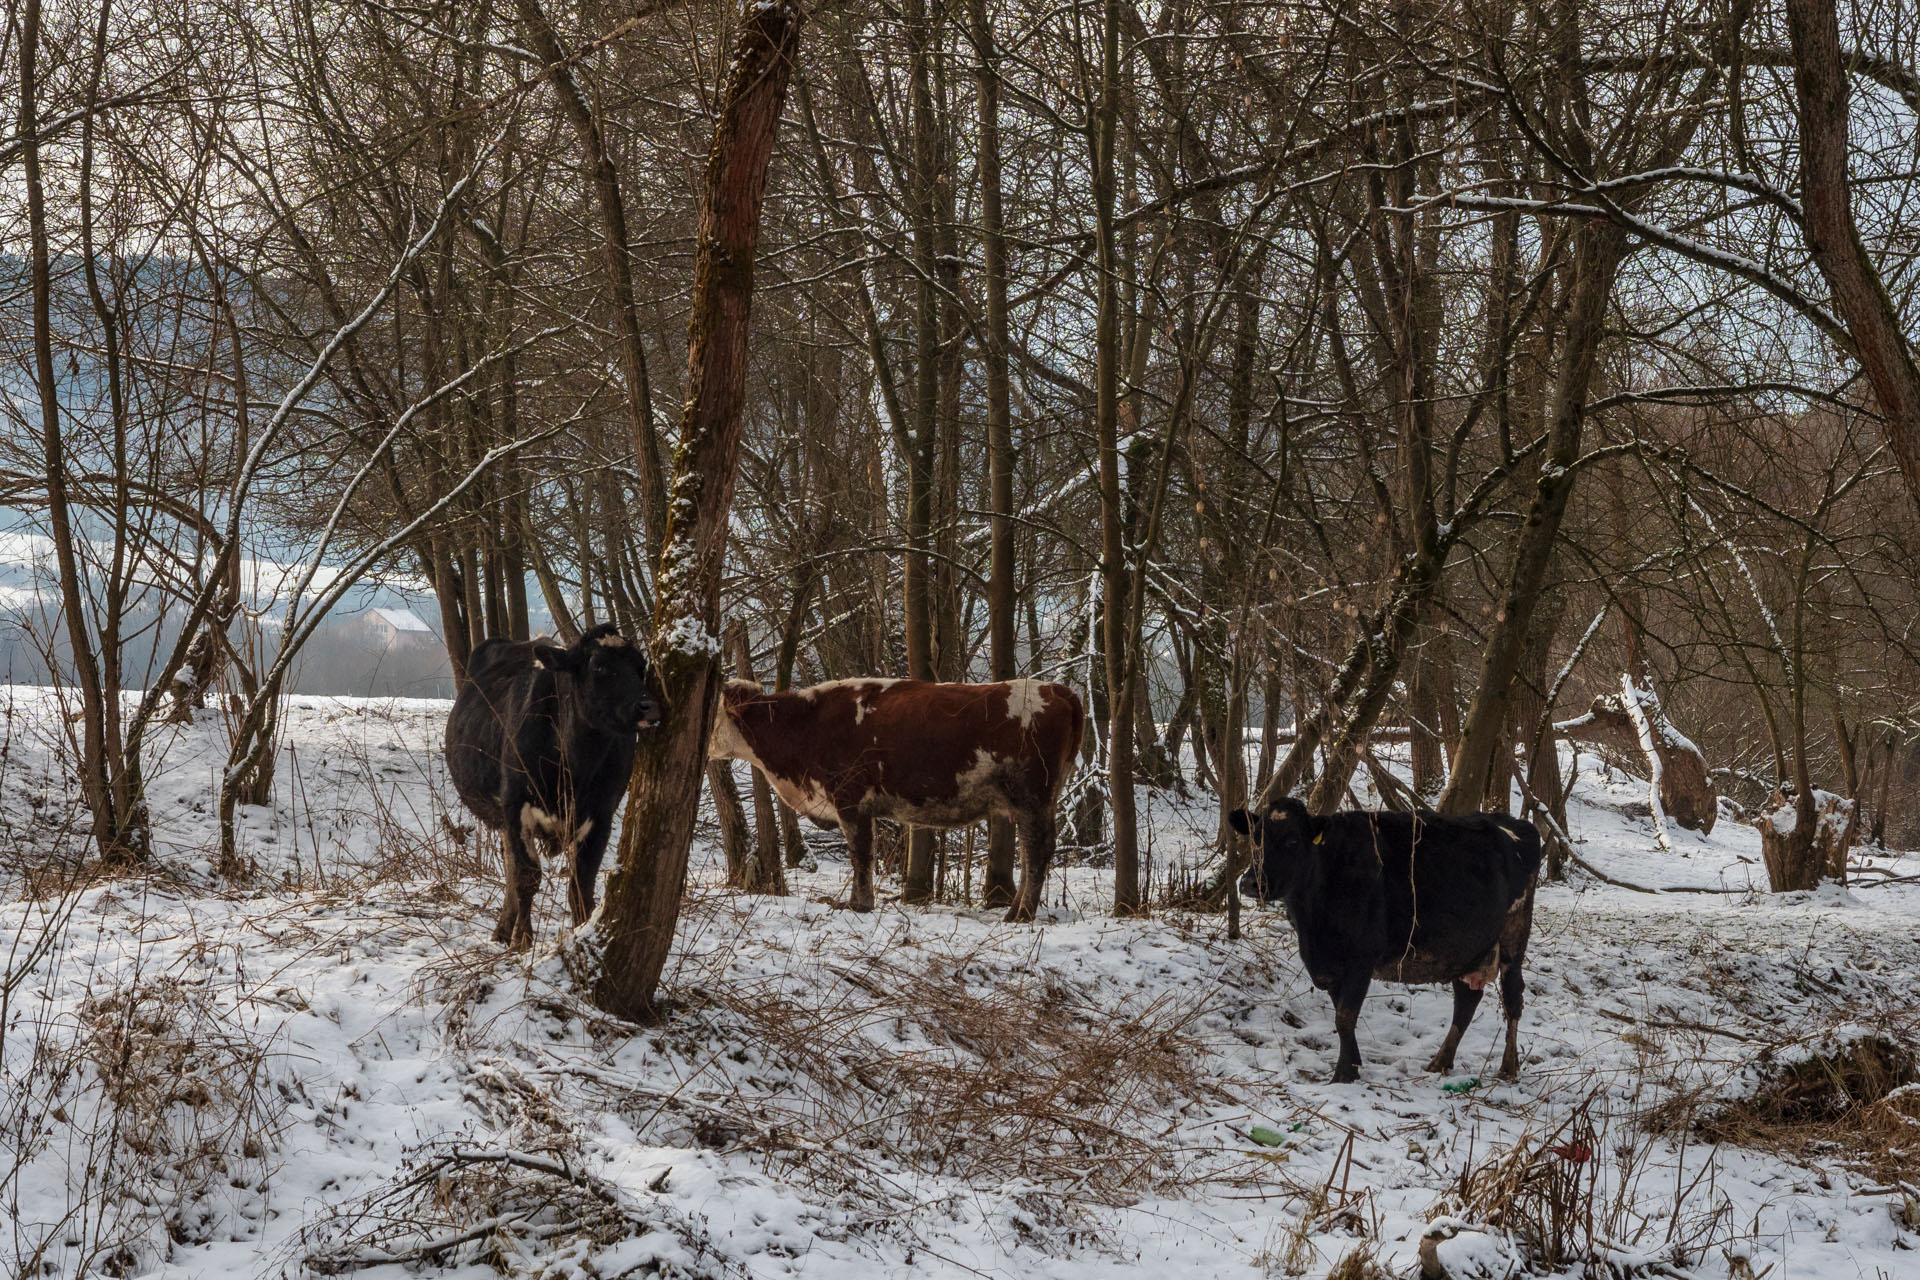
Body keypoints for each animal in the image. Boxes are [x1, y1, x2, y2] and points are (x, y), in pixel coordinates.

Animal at [445, 625, 664, 948]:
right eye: (599, 666)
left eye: (641, 667)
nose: (649, 707)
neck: (575, 769)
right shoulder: (516, 806)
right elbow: (527, 877)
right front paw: (522, 940)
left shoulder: (601, 815)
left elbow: (581, 884)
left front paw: (582, 931)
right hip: (504, 814)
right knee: (512, 867)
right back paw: (505, 931)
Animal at [714, 679, 1090, 921]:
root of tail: (1057, 689)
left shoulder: (851, 798)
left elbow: (861, 855)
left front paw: (858, 904)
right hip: (1035, 801)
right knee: (1028, 853)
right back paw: (1015, 910)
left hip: (1032, 797)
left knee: (1036, 850)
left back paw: (1021, 914)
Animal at [1228, 802, 1543, 1082]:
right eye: (1255, 838)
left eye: (1292, 840)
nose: (1251, 883)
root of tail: (1515, 823)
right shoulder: (1330, 964)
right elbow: (1341, 1013)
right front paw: (1353, 1065)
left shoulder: (1361, 957)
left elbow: (1344, 1016)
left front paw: (1343, 1074)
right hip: (1466, 948)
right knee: (1466, 1001)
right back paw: (1440, 1062)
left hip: (1514, 936)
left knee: (1513, 999)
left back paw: (1508, 1067)